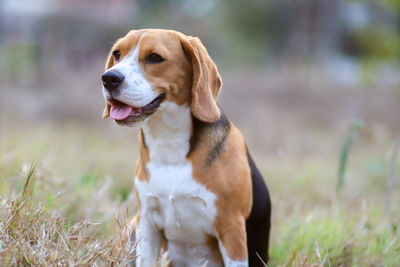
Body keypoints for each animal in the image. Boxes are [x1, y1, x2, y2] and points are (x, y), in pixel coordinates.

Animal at [101, 29, 272, 267]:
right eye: (117, 54)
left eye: (155, 57)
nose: (109, 78)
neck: (168, 143)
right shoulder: (147, 222)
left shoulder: (232, 229)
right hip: (131, 228)